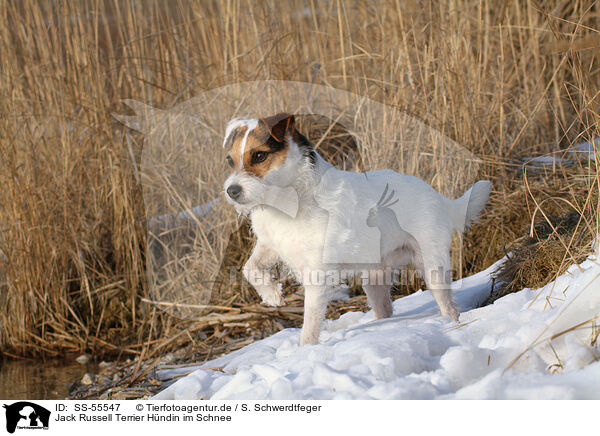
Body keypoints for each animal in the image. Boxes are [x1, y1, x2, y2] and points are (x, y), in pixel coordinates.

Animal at [223, 114, 490, 346]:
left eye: (259, 156)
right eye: (230, 160)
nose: (231, 191)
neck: (288, 197)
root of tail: (440, 198)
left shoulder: (317, 276)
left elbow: (309, 326)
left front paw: (305, 352)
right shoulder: (270, 245)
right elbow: (249, 268)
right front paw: (271, 295)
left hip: (432, 266)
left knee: (448, 304)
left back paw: (450, 323)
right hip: (373, 277)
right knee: (385, 309)